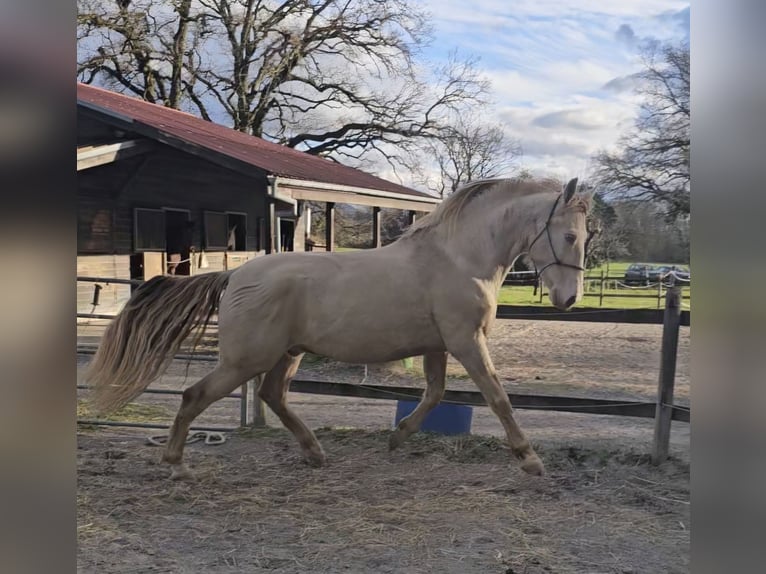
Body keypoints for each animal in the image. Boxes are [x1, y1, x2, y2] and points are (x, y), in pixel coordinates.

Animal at [88, 177, 592, 482]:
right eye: (570, 235)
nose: (569, 299)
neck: (459, 258)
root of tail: (236, 275)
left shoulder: (439, 345)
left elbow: (434, 394)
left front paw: (397, 436)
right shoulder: (467, 342)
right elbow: (498, 397)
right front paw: (530, 460)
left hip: (287, 353)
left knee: (272, 395)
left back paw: (315, 453)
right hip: (246, 359)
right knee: (195, 396)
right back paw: (176, 466)